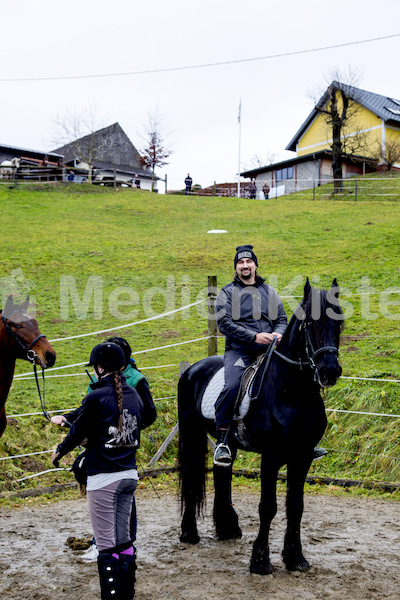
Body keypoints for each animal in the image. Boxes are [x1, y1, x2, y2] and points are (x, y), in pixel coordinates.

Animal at [179, 278, 344, 576]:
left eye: (339, 324)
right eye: (309, 324)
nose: (330, 371)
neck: (292, 392)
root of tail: (193, 369)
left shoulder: (302, 457)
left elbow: (296, 506)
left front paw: (295, 557)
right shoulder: (271, 457)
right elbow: (268, 507)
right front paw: (260, 561)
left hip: (227, 441)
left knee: (222, 471)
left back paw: (227, 528)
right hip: (190, 434)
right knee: (190, 475)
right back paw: (189, 533)